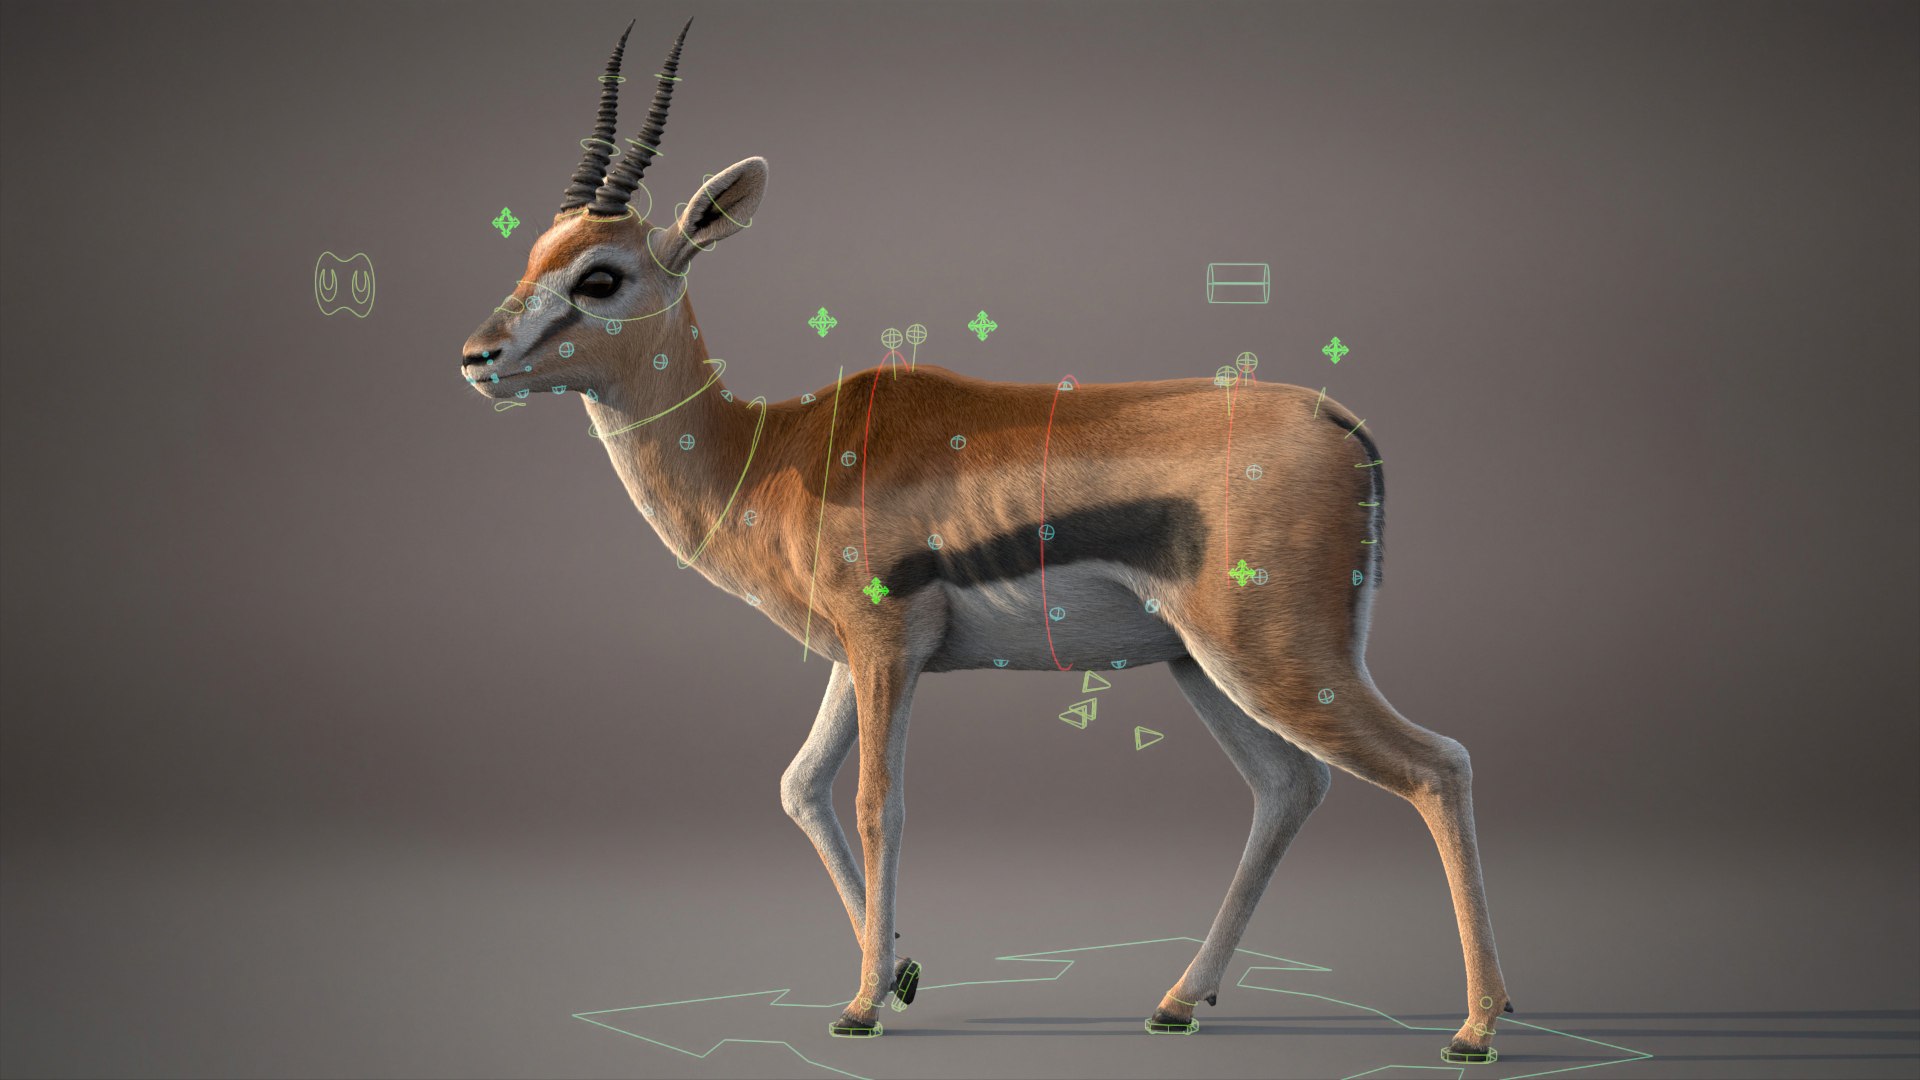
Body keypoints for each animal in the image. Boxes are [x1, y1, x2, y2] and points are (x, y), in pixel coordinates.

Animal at [461, 20, 1515, 1063]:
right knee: (1291, 786)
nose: (477, 357)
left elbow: (874, 801)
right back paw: (1178, 1001)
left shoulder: (887, 644)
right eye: (535, 255)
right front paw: (901, 974)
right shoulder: (851, 653)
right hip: (1198, 665)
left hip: (1279, 659)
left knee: (1437, 765)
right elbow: (801, 786)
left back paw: (1474, 1027)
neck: (774, 453)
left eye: (601, 275)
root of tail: (1339, 420)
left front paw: (862, 1006)